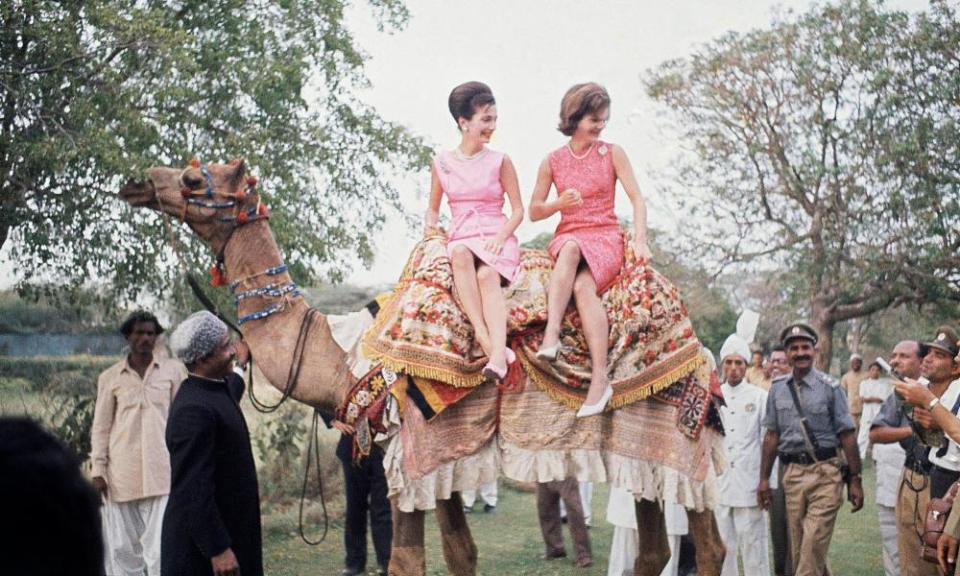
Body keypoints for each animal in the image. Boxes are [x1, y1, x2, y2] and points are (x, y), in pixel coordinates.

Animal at [118, 159, 720, 576]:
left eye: (194, 178)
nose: (137, 181)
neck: (343, 353)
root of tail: (701, 351)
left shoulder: (404, 450)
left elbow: (407, 561)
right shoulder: (438, 453)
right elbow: (460, 553)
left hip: (673, 441)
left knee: (707, 546)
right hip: (643, 454)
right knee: (658, 548)